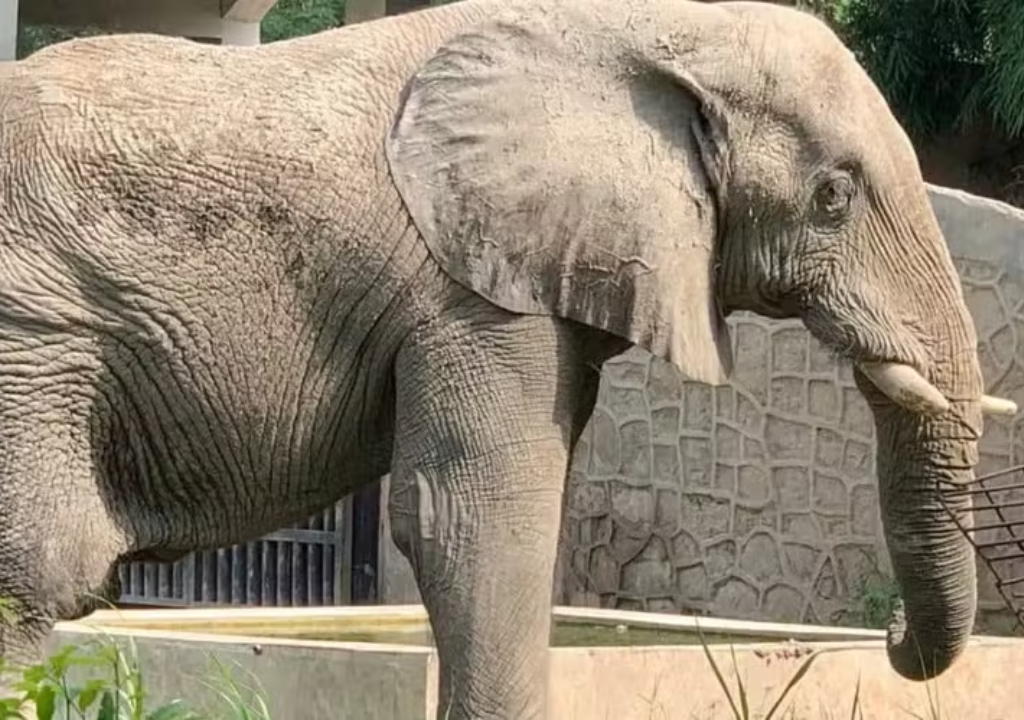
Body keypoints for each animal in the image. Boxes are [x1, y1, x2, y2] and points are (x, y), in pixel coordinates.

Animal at [0, 0, 1016, 717]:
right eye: (833, 197)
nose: (888, 637)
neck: (650, 27)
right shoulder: (468, 291)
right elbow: (477, 520)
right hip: (36, 346)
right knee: (35, 568)